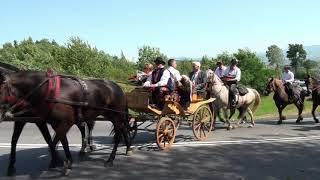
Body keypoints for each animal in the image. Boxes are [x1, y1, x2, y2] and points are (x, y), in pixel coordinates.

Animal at [0, 70, 131, 174]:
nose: (2, 115)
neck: (49, 91)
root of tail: (119, 88)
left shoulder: (62, 122)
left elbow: (55, 141)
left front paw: (61, 161)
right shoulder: (51, 122)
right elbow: (58, 141)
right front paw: (61, 161)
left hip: (116, 116)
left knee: (118, 134)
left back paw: (110, 159)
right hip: (109, 115)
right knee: (122, 129)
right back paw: (128, 148)